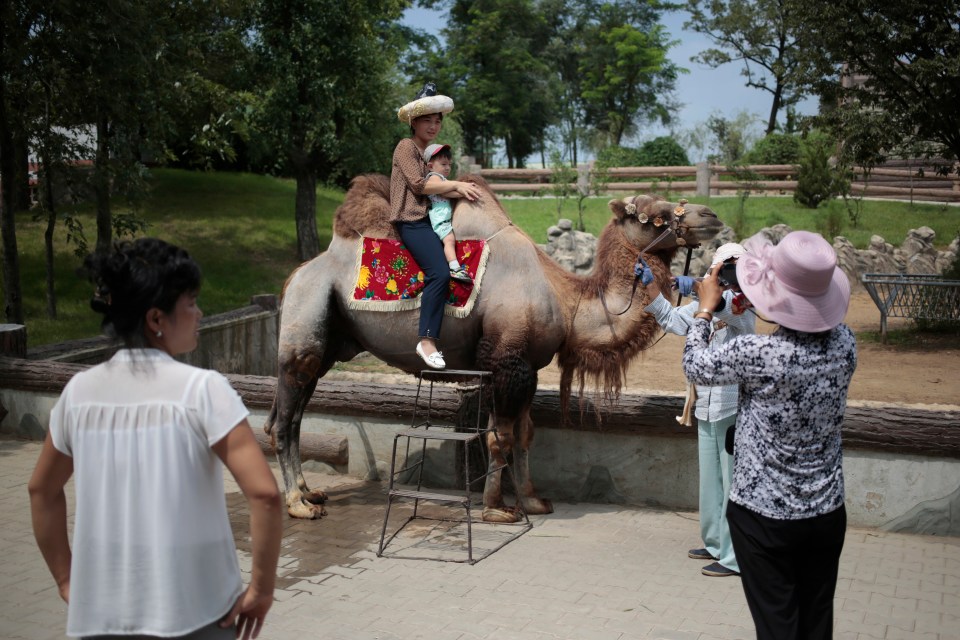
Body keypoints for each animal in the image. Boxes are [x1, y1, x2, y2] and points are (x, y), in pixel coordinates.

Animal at [262, 174, 720, 520]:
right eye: (653, 215)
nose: (711, 216)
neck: (566, 299)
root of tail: (294, 276)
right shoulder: (506, 360)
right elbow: (499, 437)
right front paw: (497, 508)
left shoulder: (528, 366)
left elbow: (525, 434)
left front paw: (534, 500)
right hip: (305, 327)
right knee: (284, 422)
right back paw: (298, 504)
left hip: (329, 344)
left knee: (296, 417)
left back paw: (311, 492)